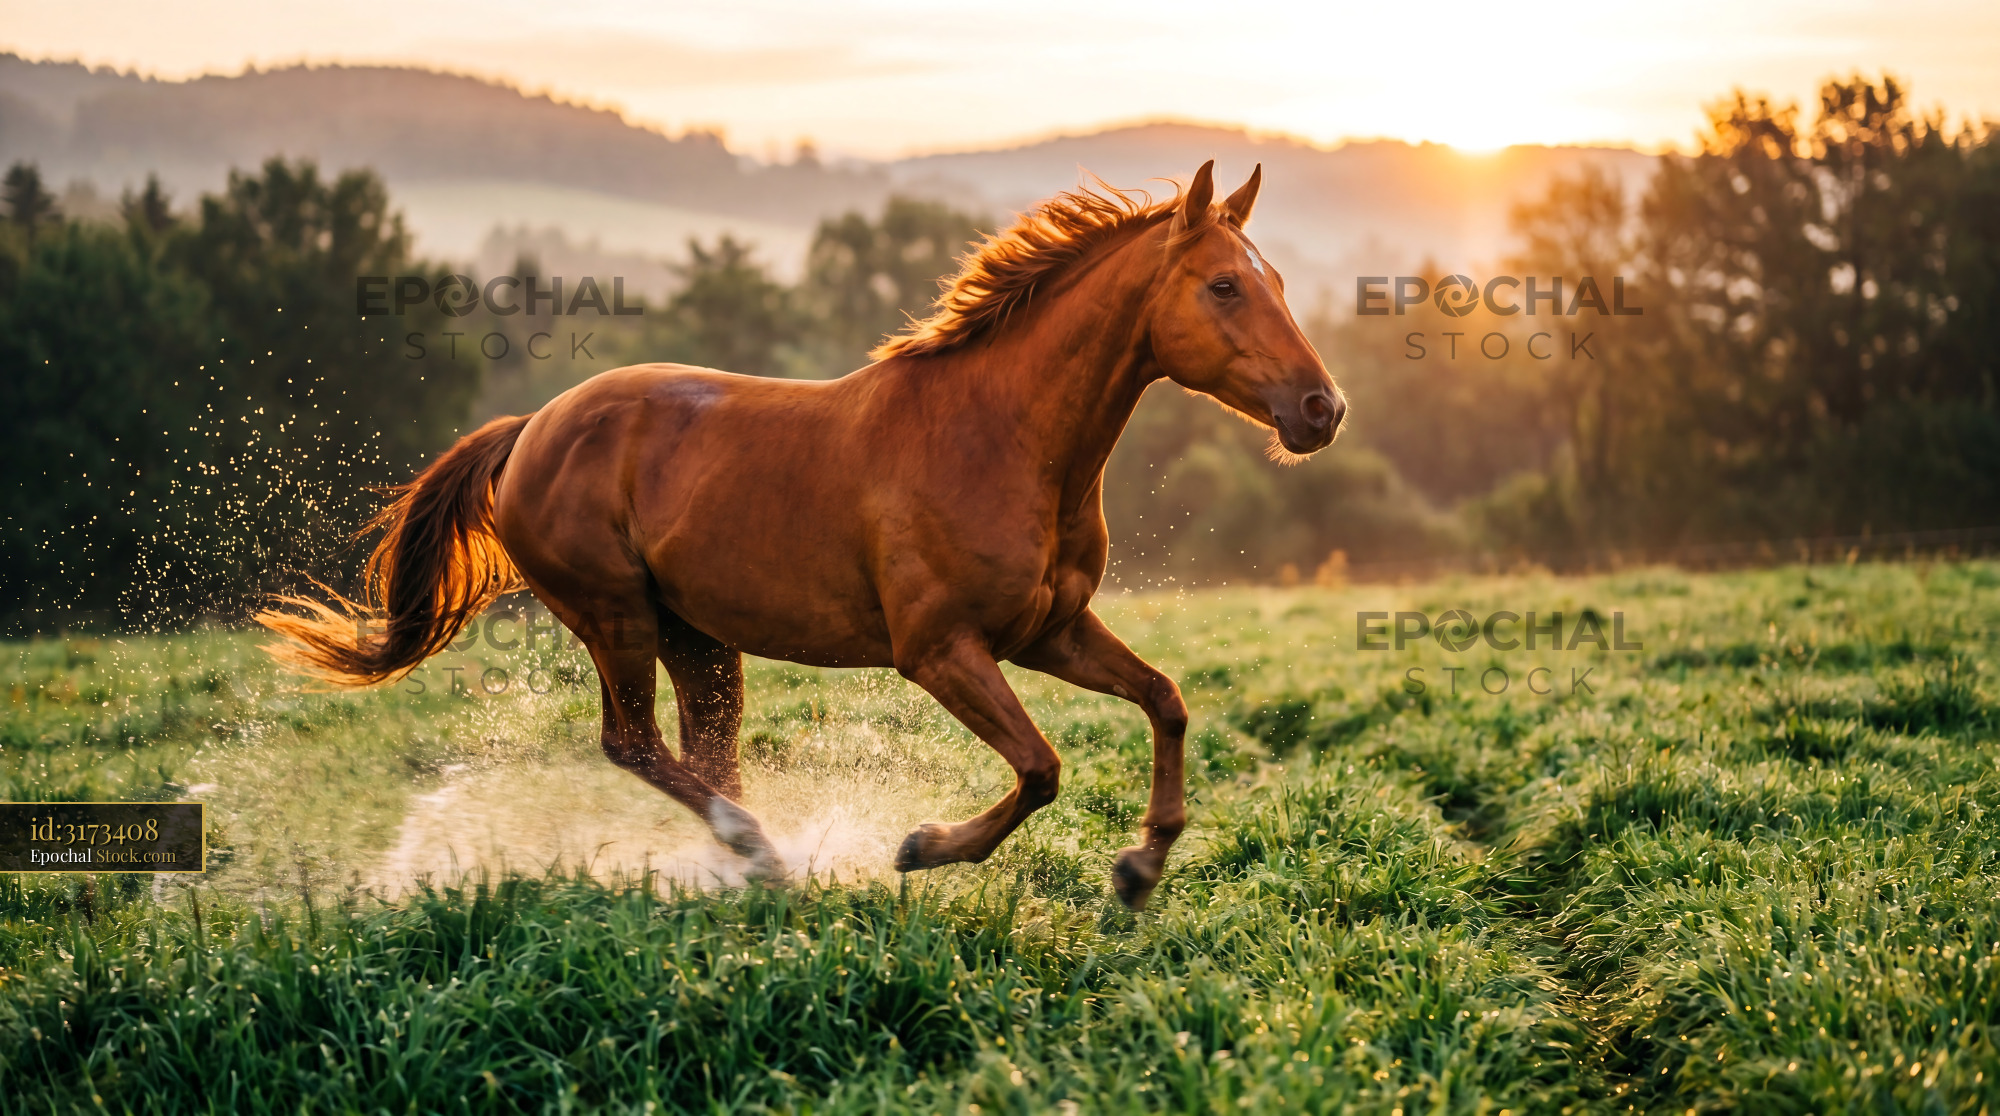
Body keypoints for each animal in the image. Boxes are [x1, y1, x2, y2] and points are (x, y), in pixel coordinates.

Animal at [259, 160, 1344, 909]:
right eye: (1223, 287)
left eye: (1281, 283)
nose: (1320, 410)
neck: (1003, 437)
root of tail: (530, 429)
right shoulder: (939, 649)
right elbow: (1040, 768)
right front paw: (921, 848)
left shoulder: (1049, 631)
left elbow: (1165, 702)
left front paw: (1138, 868)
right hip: (616, 618)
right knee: (634, 744)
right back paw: (767, 857)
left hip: (698, 637)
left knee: (703, 753)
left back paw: (755, 864)